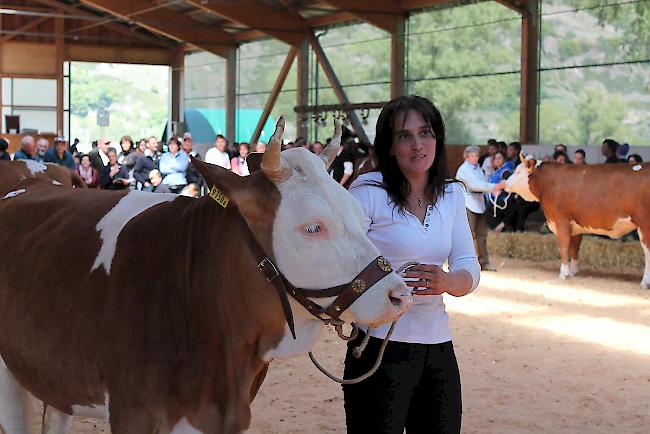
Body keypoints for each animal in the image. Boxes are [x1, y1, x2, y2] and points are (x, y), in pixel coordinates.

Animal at [506, 156, 648, 288]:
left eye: (518, 171)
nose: (504, 183)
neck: (549, 183)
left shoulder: (561, 221)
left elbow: (564, 247)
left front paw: (563, 274)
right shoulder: (575, 226)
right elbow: (574, 248)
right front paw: (573, 271)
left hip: (644, 224)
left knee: (647, 251)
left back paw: (645, 282)